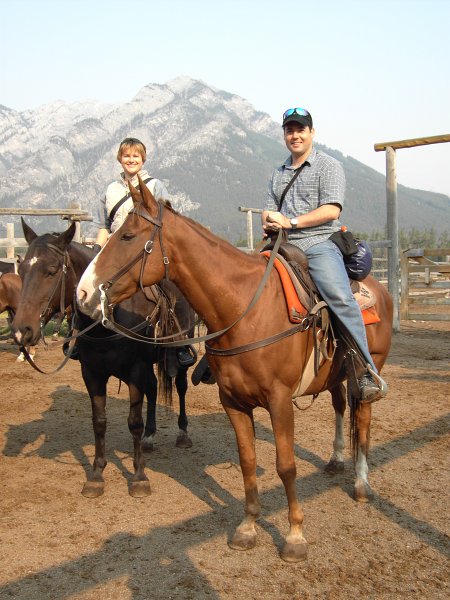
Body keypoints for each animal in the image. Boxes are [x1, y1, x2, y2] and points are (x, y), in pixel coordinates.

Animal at [11, 218, 196, 498]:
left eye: (51, 271)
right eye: (21, 271)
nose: (22, 331)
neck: (107, 319)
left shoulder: (136, 370)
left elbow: (134, 422)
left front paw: (139, 477)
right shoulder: (92, 373)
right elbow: (99, 422)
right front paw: (97, 475)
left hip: (179, 350)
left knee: (181, 386)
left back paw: (183, 434)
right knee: (154, 390)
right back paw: (150, 437)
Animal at [76, 178, 392, 562]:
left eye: (127, 236)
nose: (83, 292)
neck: (244, 308)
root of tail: (378, 288)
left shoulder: (279, 401)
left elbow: (286, 466)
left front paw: (295, 536)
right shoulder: (233, 402)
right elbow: (247, 461)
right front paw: (247, 527)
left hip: (370, 367)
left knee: (363, 418)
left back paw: (361, 483)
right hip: (334, 375)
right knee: (340, 406)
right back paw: (335, 459)